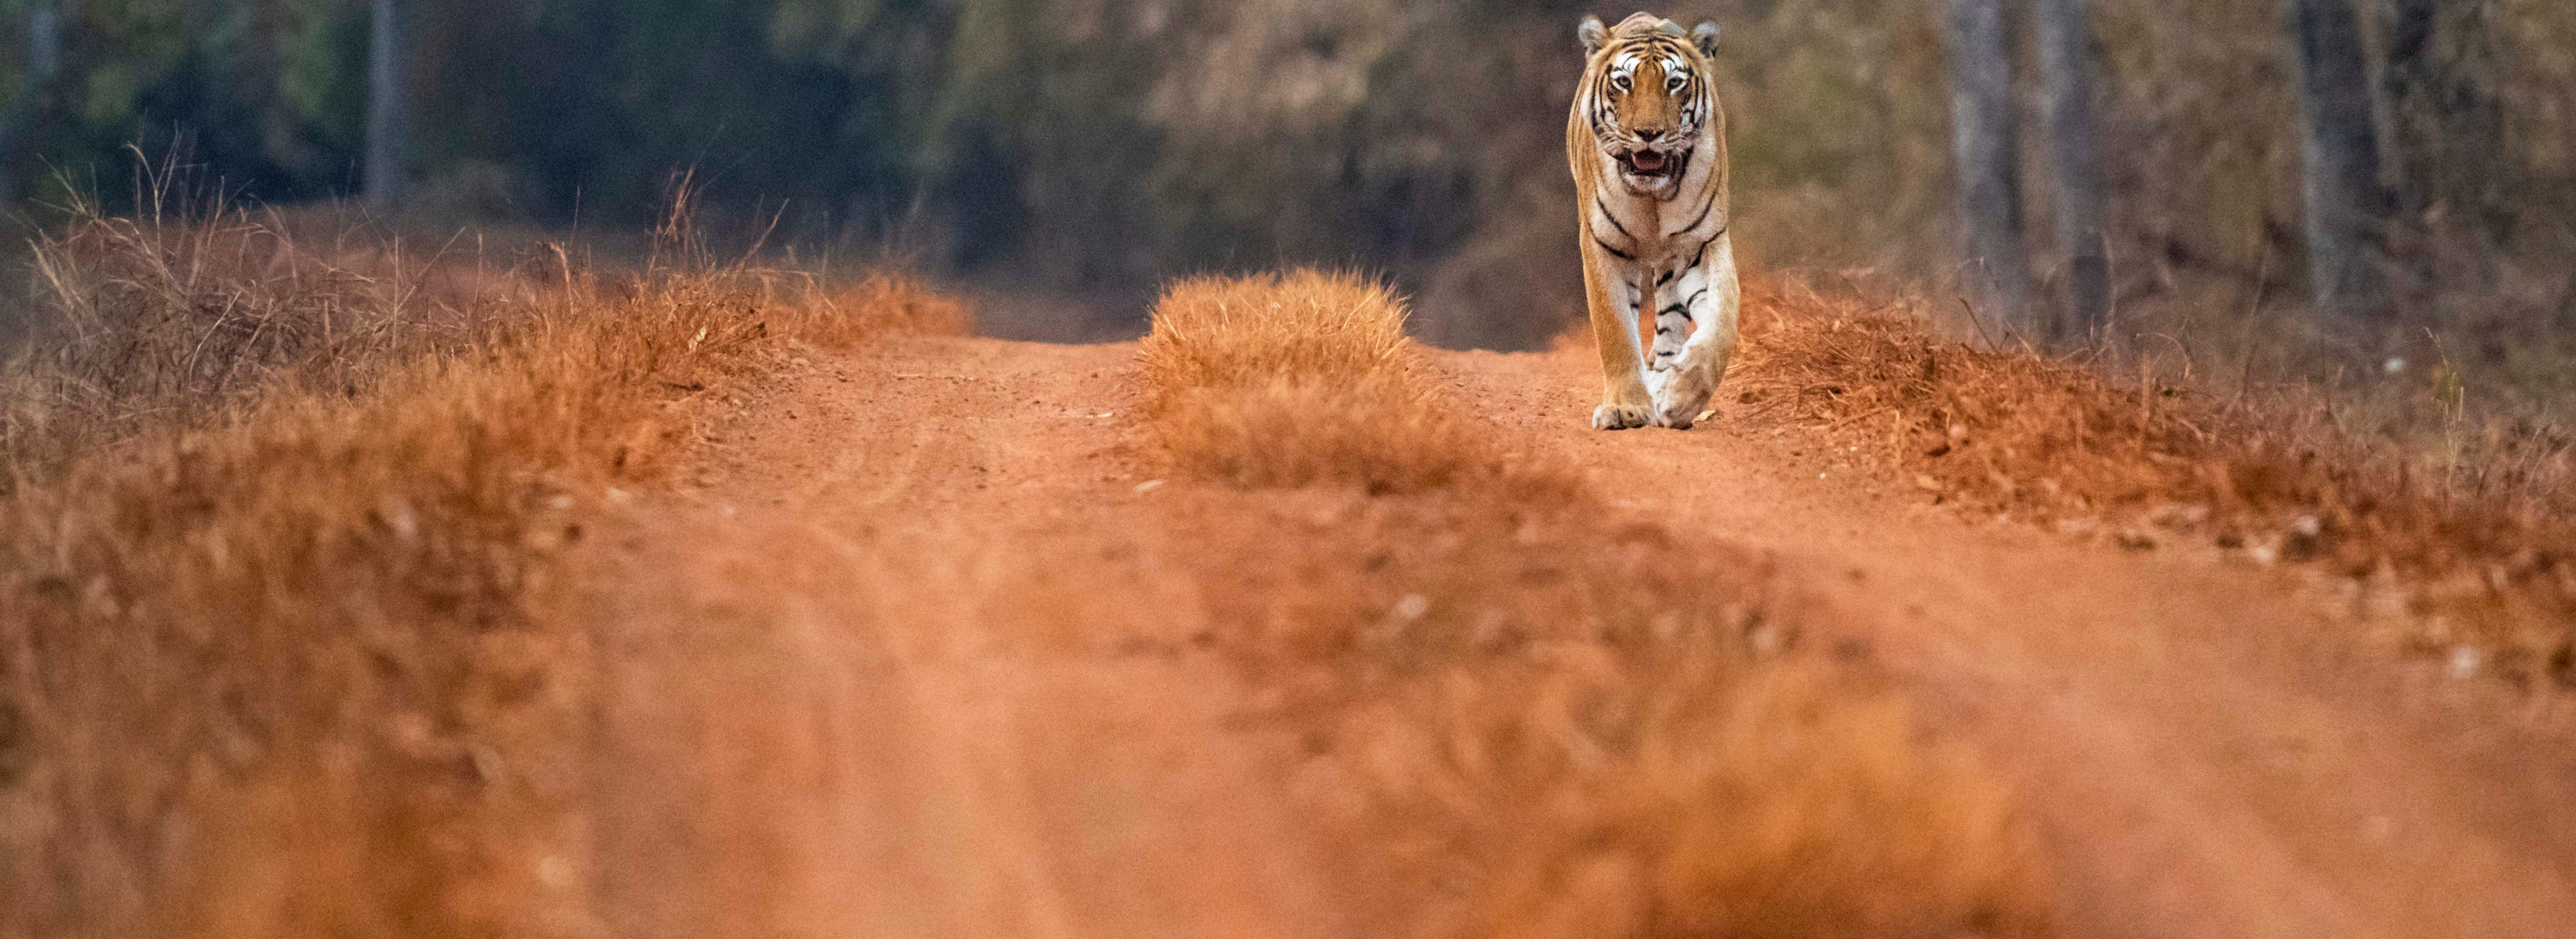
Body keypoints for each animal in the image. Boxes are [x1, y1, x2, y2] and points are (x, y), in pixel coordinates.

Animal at [1556, 12, 1741, 430]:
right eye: (1624, 82)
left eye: (1674, 83)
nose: (1648, 134)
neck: (1652, 195)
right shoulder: (1602, 245)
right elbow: (1616, 331)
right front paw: (1626, 409)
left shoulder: (1703, 244)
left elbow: (1723, 321)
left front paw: (1681, 399)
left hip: (1672, 263)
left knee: (1671, 324)